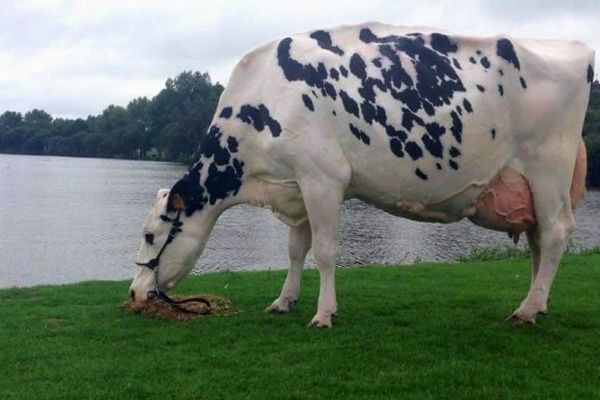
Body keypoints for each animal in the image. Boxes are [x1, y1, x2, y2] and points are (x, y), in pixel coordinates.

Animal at [129, 21, 592, 326]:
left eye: (150, 235)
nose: (133, 292)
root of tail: (575, 49)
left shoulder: (323, 177)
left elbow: (325, 251)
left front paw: (323, 313)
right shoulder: (297, 185)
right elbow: (296, 250)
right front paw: (284, 301)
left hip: (548, 168)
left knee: (554, 235)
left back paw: (527, 310)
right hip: (532, 185)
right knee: (538, 239)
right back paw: (538, 303)